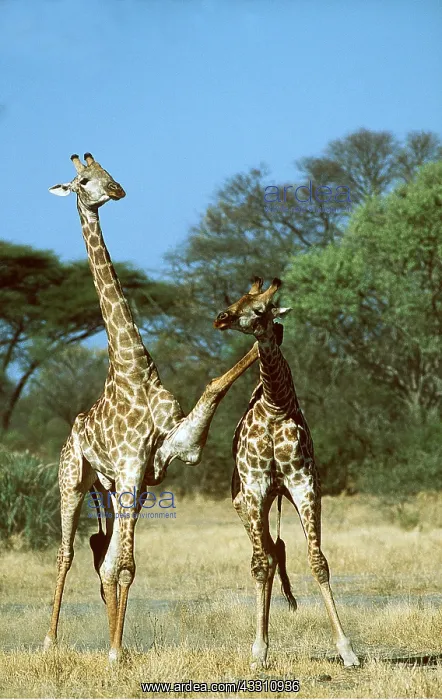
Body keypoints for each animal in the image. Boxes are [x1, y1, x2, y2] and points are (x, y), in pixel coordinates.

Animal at [44, 153, 258, 662]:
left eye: (108, 170)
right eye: (85, 180)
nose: (116, 190)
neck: (134, 369)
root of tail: (72, 429)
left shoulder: (160, 458)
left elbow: (124, 564)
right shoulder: (130, 464)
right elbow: (123, 563)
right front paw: (114, 653)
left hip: (111, 489)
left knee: (102, 555)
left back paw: (110, 638)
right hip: (74, 479)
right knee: (68, 553)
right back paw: (51, 640)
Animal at [214, 277, 359, 669]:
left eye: (261, 308)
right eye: (238, 299)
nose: (222, 317)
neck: (275, 405)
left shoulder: (304, 484)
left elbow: (318, 561)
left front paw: (347, 649)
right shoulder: (255, 487)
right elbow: (260, 565)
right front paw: (258, 651)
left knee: (272, 552)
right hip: (246, 502)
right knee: (262, 559)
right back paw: (261, 647)